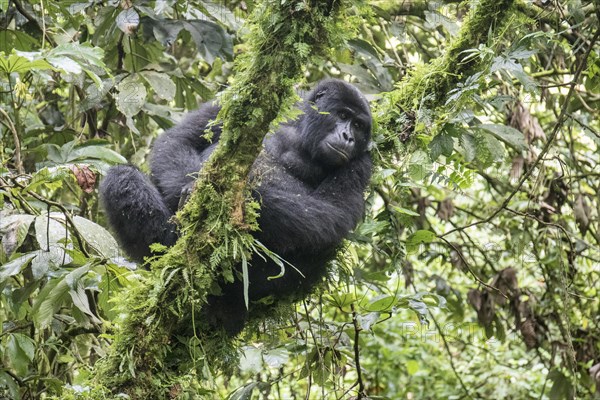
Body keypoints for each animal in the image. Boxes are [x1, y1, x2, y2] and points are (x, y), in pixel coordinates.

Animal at [101, 78, 372, 334]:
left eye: (358, 126)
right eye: (343, 116)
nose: (348, 137)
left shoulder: (361, 162)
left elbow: (332, 212)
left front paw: (232, 201)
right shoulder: (233, 99)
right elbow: (178, 141)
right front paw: (191, 192)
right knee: (121, 179)